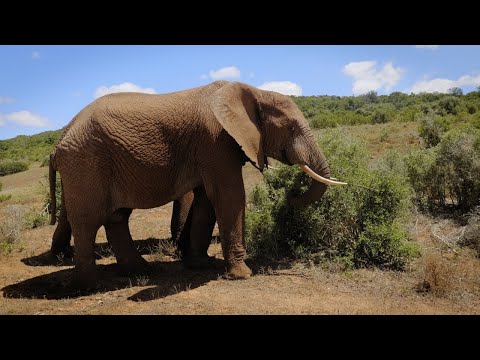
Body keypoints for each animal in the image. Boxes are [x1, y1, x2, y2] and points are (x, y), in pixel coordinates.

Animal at [48, 81, 344, 290]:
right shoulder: (215, 141)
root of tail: (59, 141)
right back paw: (88, 286)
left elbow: (206, 201)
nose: (292, 193)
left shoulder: (209, 149)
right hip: (85, 162)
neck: (254, 91)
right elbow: (229, 196)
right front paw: (243, 275)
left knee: (117, 217)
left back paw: (141, 271)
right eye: (292, 128)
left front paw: (201, 264)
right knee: (88, 220)